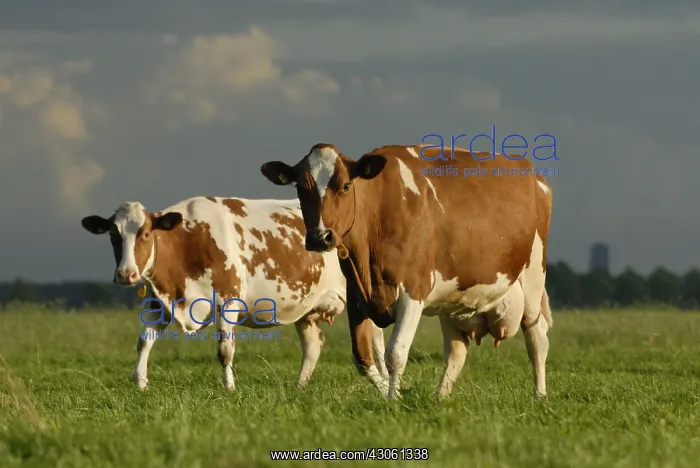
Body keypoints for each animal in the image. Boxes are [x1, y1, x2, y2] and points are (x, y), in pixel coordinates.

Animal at [80, 196, 388, 391]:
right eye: (113, 236)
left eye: (145, 233)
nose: (126, 274)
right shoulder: (159, 302)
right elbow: (144, 341)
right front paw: (140, 382)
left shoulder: (228, 300)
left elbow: (224, 350)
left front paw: (229, 387)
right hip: (307, 307)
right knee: (313, 346)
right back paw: (299, 388)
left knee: (376, 341)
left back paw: (385, 379)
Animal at [260, 143, 554, 400]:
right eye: (300, 187)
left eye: (345, 186)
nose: (320, 237)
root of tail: (533, 173)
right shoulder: (356, 295)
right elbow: (363, 358)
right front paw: (390, 393)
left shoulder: (414, 290)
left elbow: (395, 354)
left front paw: (393, 400)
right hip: (453, 299)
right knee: (456, 350)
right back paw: (440, 397)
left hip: (532, 279)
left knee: (537, 339)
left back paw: (540, 395)